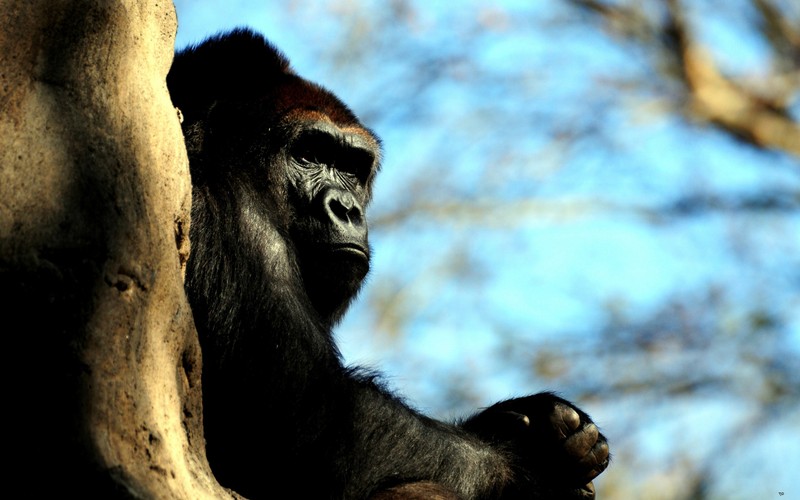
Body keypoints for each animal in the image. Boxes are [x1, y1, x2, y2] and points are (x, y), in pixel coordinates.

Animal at [167, 29, 608, 498]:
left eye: (352, 168)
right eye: (308, 154)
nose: (347, 209)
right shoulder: (231, 214)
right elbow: (312, 420)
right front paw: (528, 461)